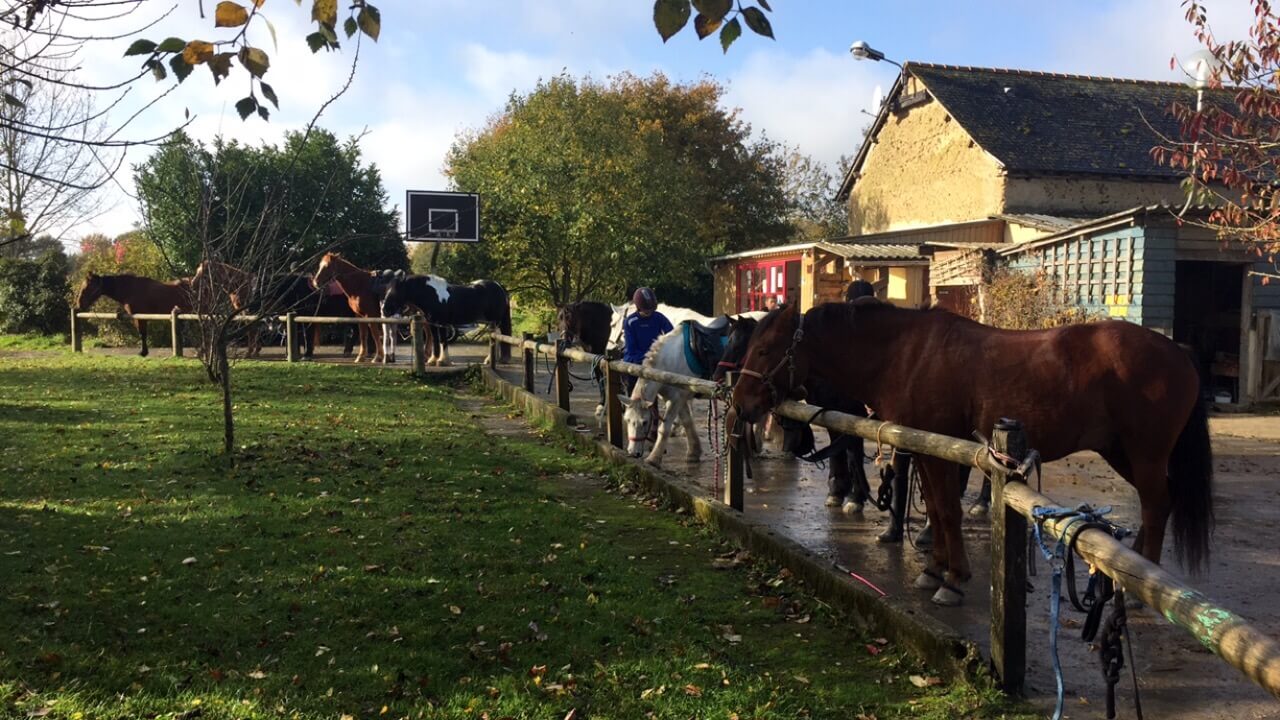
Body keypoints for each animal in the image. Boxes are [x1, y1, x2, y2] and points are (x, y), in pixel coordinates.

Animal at [732, 299, 1208, 602]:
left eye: (765, 349)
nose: (741, 402)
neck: (905, 353)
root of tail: (1179, 352)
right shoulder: (926, 449)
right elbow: (937, 509)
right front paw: (934, 570)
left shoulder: (940, 448)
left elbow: (947, 509)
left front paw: (954, 578)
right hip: (1121, 452)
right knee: (1160, 503)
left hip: (1144, 454)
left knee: (1156, 504)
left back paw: (1140, 588)